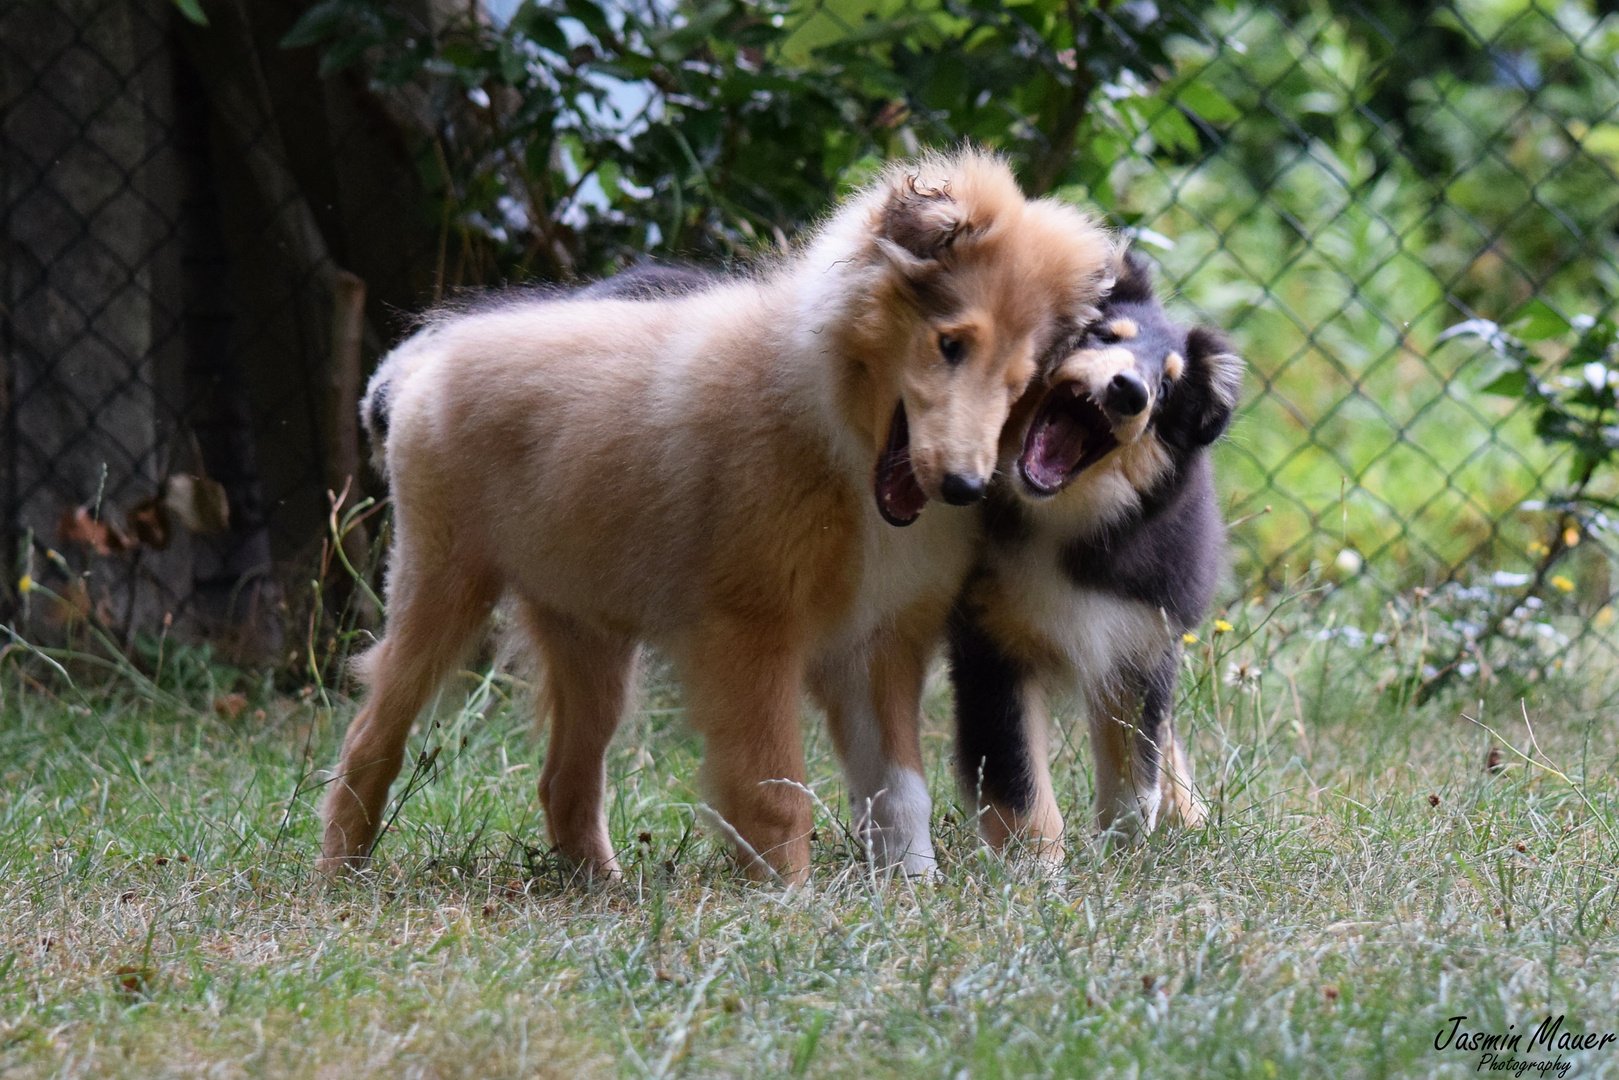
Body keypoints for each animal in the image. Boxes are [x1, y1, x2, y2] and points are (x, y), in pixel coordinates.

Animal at [322, 149, 1120, 880]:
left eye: (1019, 383)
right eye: (950, 343)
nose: (962, 486)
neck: (835, 433)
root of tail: (420, 361)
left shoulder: (878, 643)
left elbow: (900, 791)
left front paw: (912, 892)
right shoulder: (750, 636)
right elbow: (775, 792)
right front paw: (788, 903)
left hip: (589, 635)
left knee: (564, 779)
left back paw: (605, 890)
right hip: (440, 584)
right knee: (370, 736)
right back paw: (341, 874)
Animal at [945, 249, 1236, 854]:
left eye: (1168, 388)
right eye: (1103, 336)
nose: (1130, 391)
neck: (1059, 519)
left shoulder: (1140, 642)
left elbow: (1135, 768)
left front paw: (1127, 858)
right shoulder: (991, 643)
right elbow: (1019, 779)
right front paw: (1032, 867)